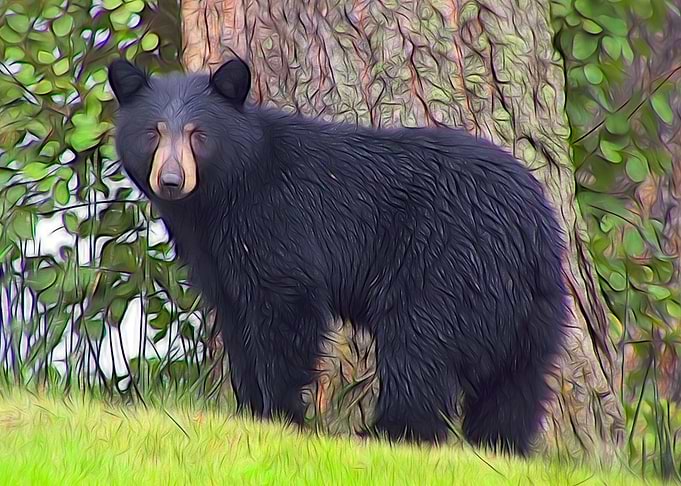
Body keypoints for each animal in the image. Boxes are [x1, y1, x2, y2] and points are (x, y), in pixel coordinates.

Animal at [108, 56, 569, 456]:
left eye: (198, 134)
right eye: (153, 132)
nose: (171, 180)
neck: (222, 195)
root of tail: (532, 227)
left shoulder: (277, 223)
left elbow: (285, 312)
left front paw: (281, 415)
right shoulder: (217, 257)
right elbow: (237, 320)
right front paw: (249, 411)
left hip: (448, 265)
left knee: (420, 347)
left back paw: (388, 433)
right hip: (536, 307)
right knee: (517, 382)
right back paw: (499, 444)